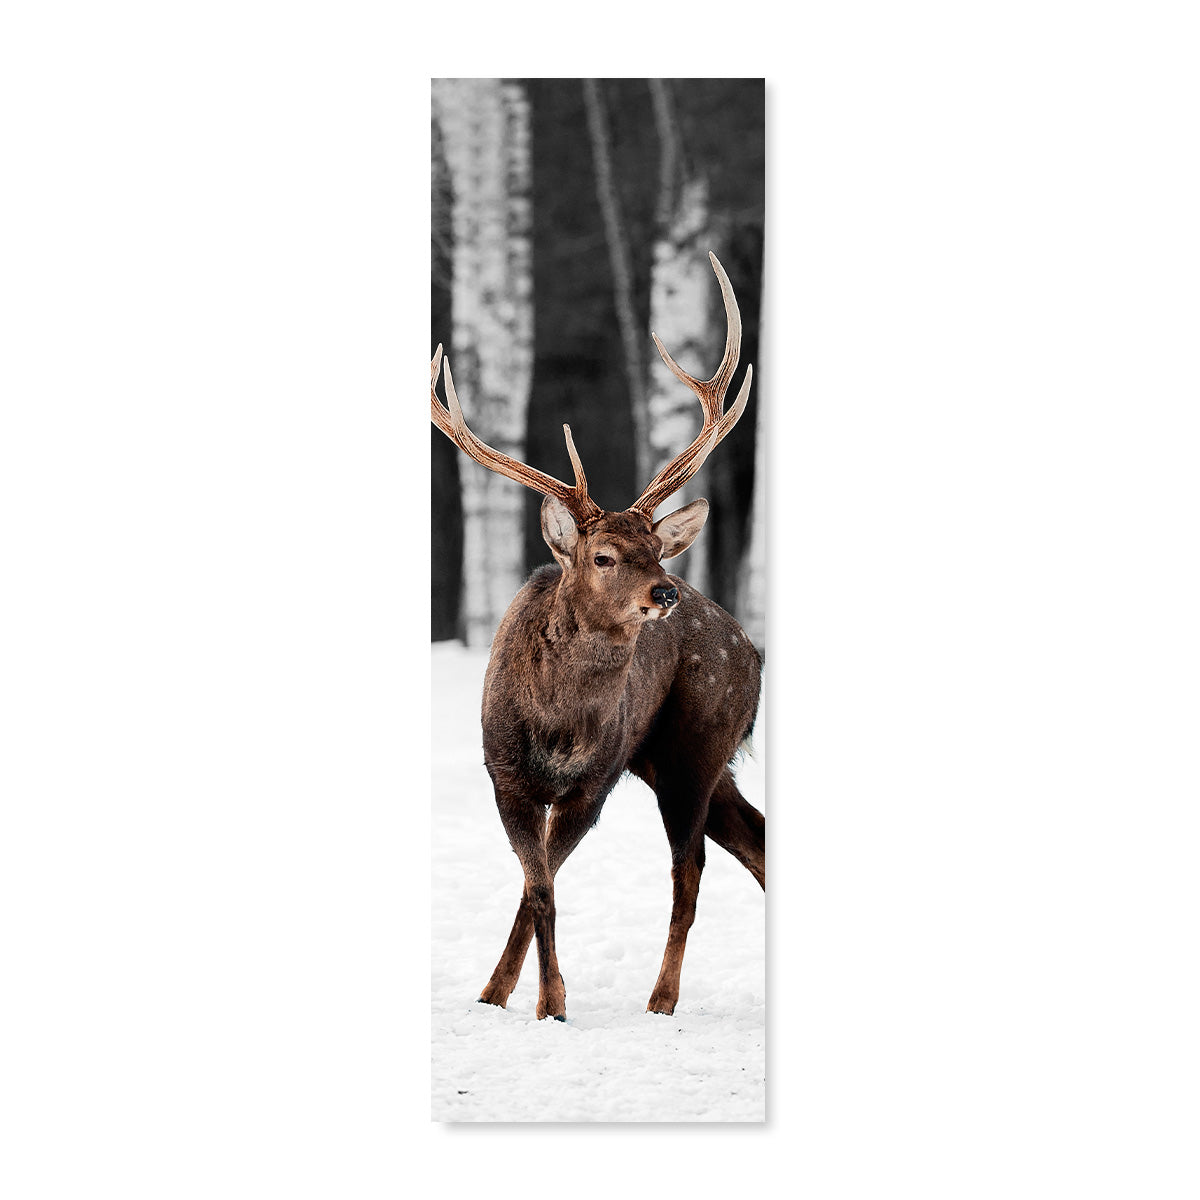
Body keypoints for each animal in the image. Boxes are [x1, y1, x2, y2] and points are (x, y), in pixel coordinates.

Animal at [430, 252, 765, 1020]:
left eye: (658, 548)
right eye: (604, 556)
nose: (665, 592)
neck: (557, 729)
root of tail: (753, 652)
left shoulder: (594, 782)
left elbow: (544, 883)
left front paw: (550, 1001)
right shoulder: (506, 775)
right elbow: (538, 885)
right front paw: (500, 994)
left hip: (695, 746)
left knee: (690, 869)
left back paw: (662, 999)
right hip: (683, 758)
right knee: (757, 838)